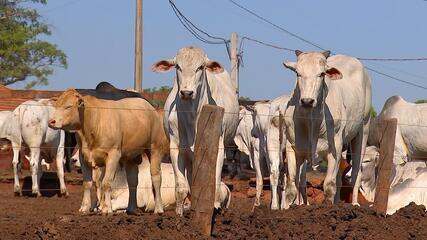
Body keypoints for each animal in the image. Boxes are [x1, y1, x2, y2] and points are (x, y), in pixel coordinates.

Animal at [154, 46, 241, 215]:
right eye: (177, 66)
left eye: (200, 67)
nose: (186, 93)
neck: (192, 118)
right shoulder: (176, 148)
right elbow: (181, 187)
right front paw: (179, 214)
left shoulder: (218, 148)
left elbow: (214, 183)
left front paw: (214, 207)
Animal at [286, 50, 372, 206]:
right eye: (297, 73)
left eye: (321, 74)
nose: (307, 101)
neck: (312, 121)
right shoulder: (292, 147)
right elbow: (291, 186)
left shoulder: (334, 147)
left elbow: (329, 185)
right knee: (339, 178)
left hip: (363, 131)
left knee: (356, 173)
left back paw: (354, 203)